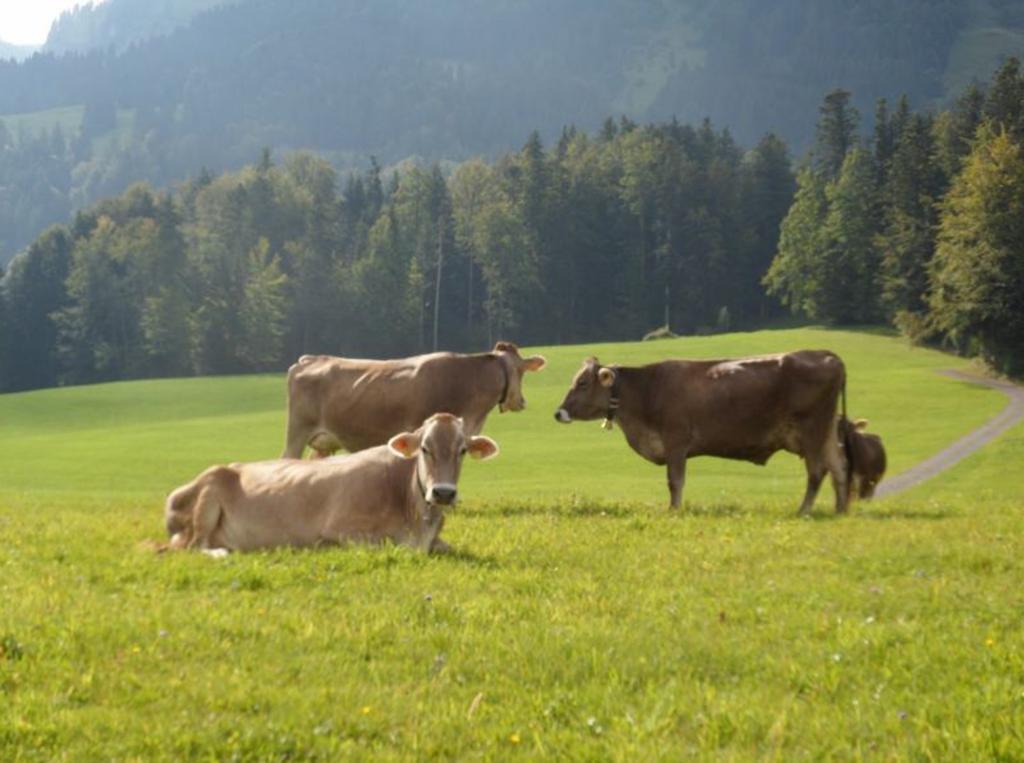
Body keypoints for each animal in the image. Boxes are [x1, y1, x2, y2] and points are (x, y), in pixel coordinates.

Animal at [166, 411, 499, 553]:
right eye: (425, 448)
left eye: (463, 450)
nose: (443, 493)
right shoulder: (342, 528)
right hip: (209, 495)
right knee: (194, 546)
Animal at [557, 350, 851, 512]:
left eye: (582, 383)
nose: (558, 412)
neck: (647, 390)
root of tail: (826, 355)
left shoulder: (676, 442)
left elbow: (674, 481)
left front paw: (674, 510)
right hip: (826, 432)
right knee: (839, 468)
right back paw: (840, 510)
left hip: (812, 432)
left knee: (817, 472)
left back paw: (804, 510)